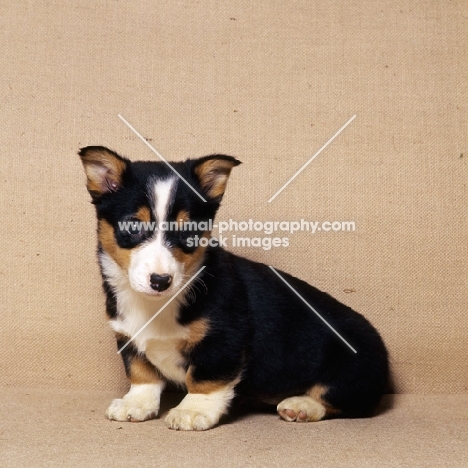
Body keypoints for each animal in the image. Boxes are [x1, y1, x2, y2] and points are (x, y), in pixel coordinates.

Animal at [78, 147, 390, 432]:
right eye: (133, 227)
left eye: (188, 232)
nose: (160, 281)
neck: (155, 304)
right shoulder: (128, 338)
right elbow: (142, 374)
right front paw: (136, 404)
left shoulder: (223, 339)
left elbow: (204, 379)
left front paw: (192, 411)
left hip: (352, 368)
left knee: (342, 400)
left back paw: (301, 405)